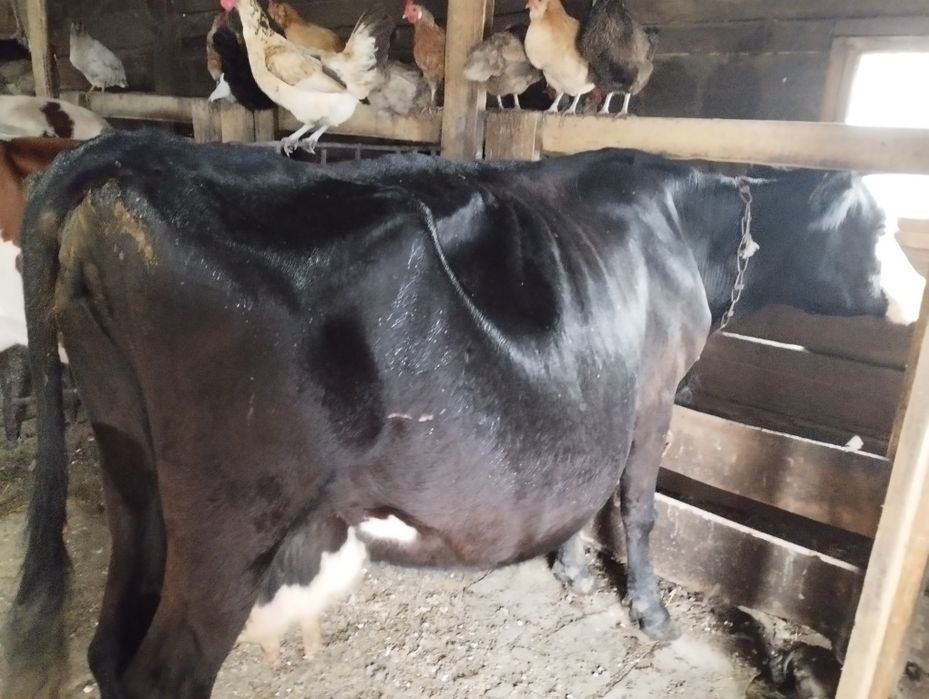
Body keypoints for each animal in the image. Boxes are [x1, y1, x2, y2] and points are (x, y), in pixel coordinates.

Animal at [4, 129, 918, 699]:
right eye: (876, 224)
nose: (917, 292)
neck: (678, 227)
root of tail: (131, 156)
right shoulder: (654, 392)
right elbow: (639, 505)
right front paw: (650, 613)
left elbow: (585, 487)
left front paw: (570, 567)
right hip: (231, 516)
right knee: (163, 669)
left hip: (131, 463)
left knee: (108, 641)